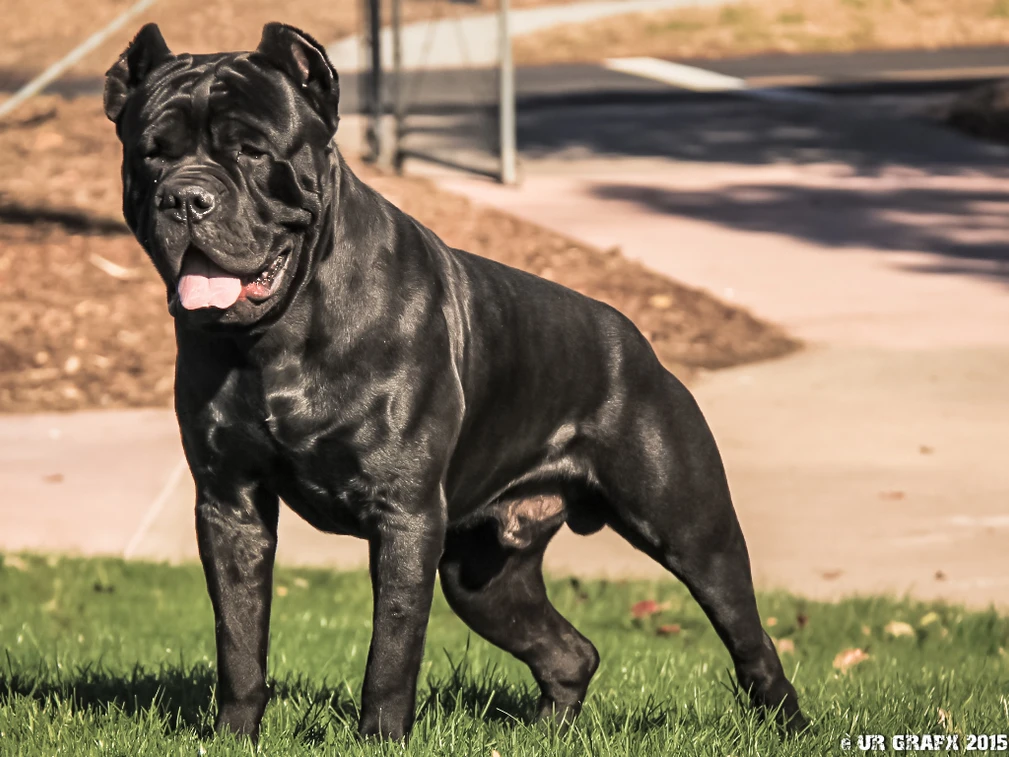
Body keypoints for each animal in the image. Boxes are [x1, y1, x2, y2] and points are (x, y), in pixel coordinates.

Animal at [104, 22, 807, 742]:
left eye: (250, 150)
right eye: (152, 152)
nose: (185, 197)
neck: (276, 335)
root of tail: (640, 345)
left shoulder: (405, 515)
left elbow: (391, 650)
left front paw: (379, 740)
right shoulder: (231, 506)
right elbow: (240, 640)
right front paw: (233, 735)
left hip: (693, 534)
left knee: (751, 640)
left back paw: (789, 723)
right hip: (480, 577)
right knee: (570, 652)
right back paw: (547, 733)